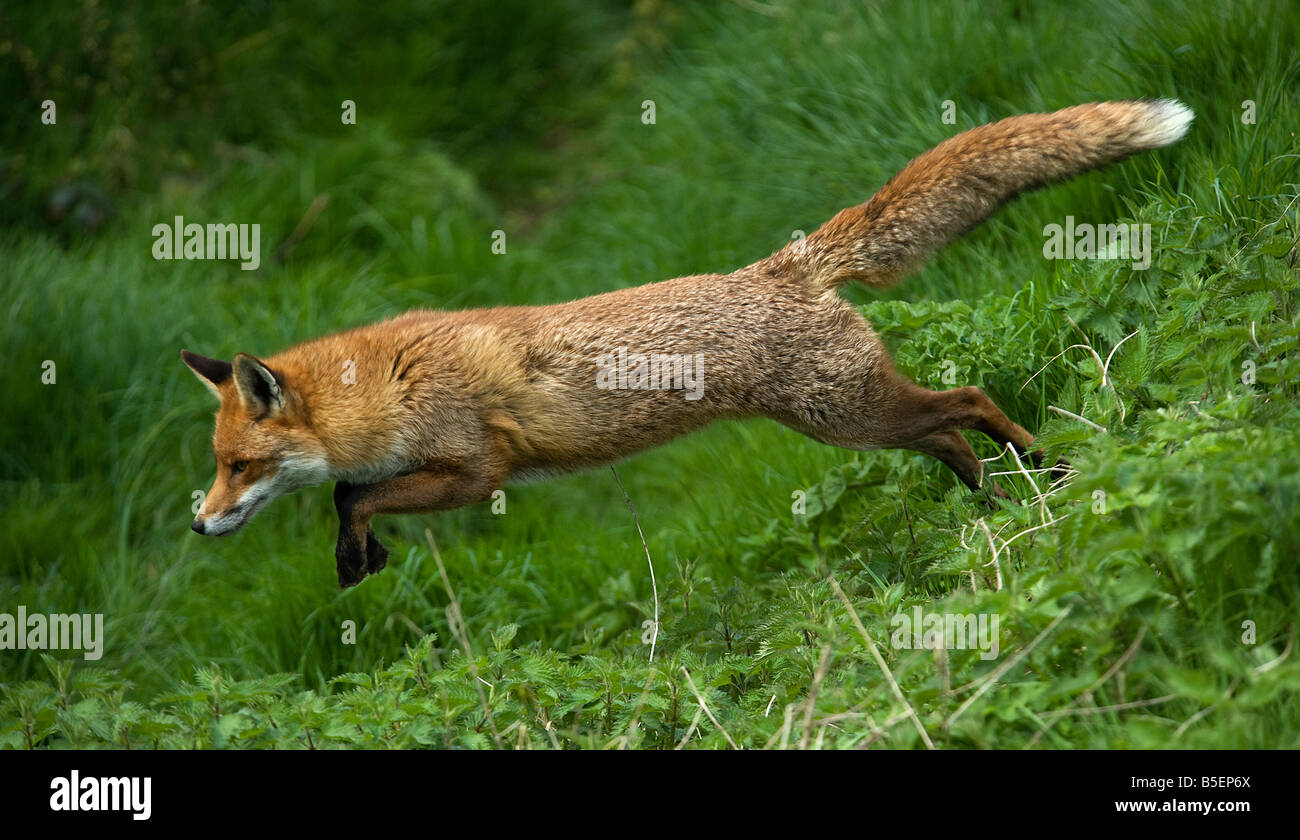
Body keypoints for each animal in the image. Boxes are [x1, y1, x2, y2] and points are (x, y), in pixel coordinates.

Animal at [183, 100, 1192, 588]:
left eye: (238, 466)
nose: (197, 523)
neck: (388, 387)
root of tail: (781, 265)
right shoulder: (452, 472)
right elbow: (351, 493)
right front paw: (362, 560)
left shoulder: (479, 471)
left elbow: (351, 495)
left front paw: (355, 559)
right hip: (856, 423)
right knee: (948, 434)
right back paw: (998, 502)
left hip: (851, 415)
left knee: (971, 403)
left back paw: (1050, 471)